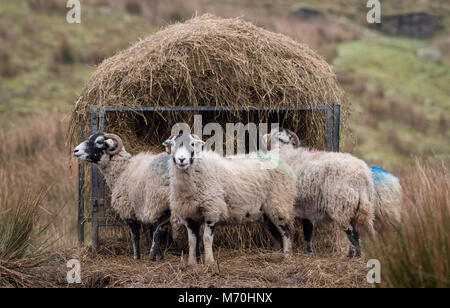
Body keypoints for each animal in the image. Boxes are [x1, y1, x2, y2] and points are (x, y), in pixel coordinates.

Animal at [73, 134, 185, 262]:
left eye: (99, 142)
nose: (75, 150)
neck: (122, 171)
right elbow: (149, 231)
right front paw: (159, 256)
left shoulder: (129, 209)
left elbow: (135, 234)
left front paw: (137, 256)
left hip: (157, 200)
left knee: (158, 230)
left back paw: (150, 257)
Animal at [163, 134, 298, 266]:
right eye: (172, 144)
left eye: (192, 144)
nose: (181, 160)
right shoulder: (189, 215)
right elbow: (192, 240)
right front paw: (192, 264)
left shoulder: (212, 210)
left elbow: (207, 238)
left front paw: (210, 262)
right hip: (267, 213)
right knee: (278, 234)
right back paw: (277, 255)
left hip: (280, 203)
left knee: (287, 231)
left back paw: (287, 257)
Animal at [264, 127, 376, 258]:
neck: (283, 149)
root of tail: (362, 176)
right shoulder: (306, 207)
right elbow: (308, 232)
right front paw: (309, 253)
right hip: (360, 206)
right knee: (363, 231)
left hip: (342, 206)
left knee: (353, 233)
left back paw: (352, 256)